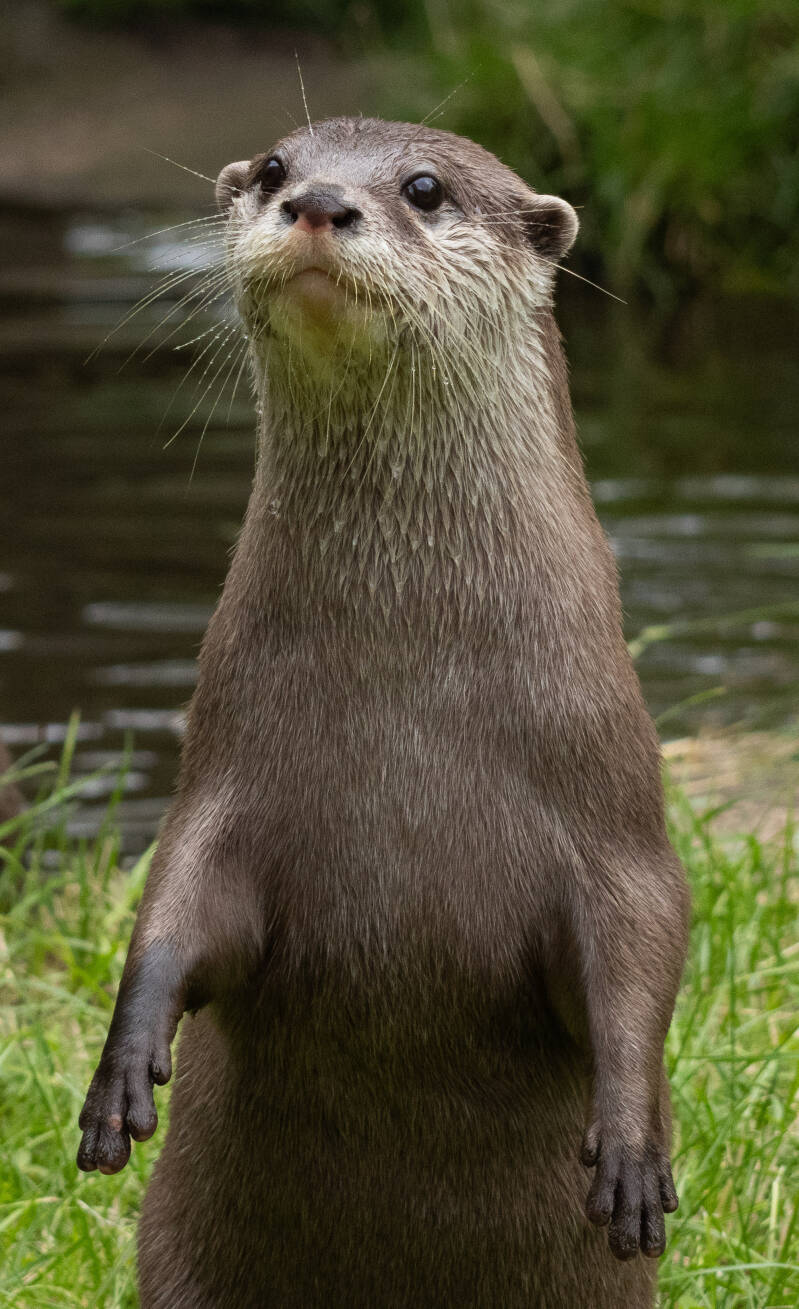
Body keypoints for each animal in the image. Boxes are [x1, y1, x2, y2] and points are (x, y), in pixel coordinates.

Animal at [77, 117, 689, 1308]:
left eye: (424, 187)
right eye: (274, 167)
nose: (318, 202)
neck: (408, 672)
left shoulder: (610, 789)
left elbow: (646, 932)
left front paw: (633, 1151)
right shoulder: (225, 764)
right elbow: (179, 903)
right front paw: (122, 1070)